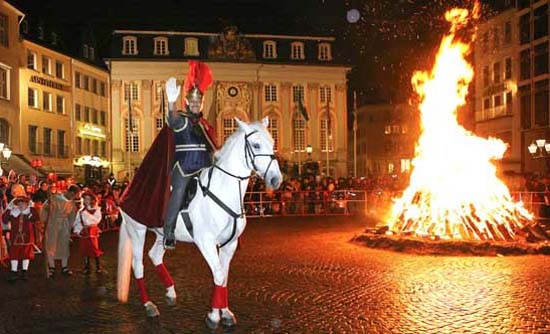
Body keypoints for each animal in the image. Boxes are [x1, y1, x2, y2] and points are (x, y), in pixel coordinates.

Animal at [116, 117, 280, 328]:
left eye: (272, 142)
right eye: (256, 144)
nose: (276, 179)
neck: (222, 190)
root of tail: (126, 190)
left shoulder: (230, 244)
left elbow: (223, 277)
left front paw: (225, 312)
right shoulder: (206, 242)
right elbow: (218, 274)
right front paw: (214, 316)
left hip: (163, 234)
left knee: (155, 255)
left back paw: (171, 292)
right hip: (137, 230)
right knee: (138, 265)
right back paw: (149, 305)